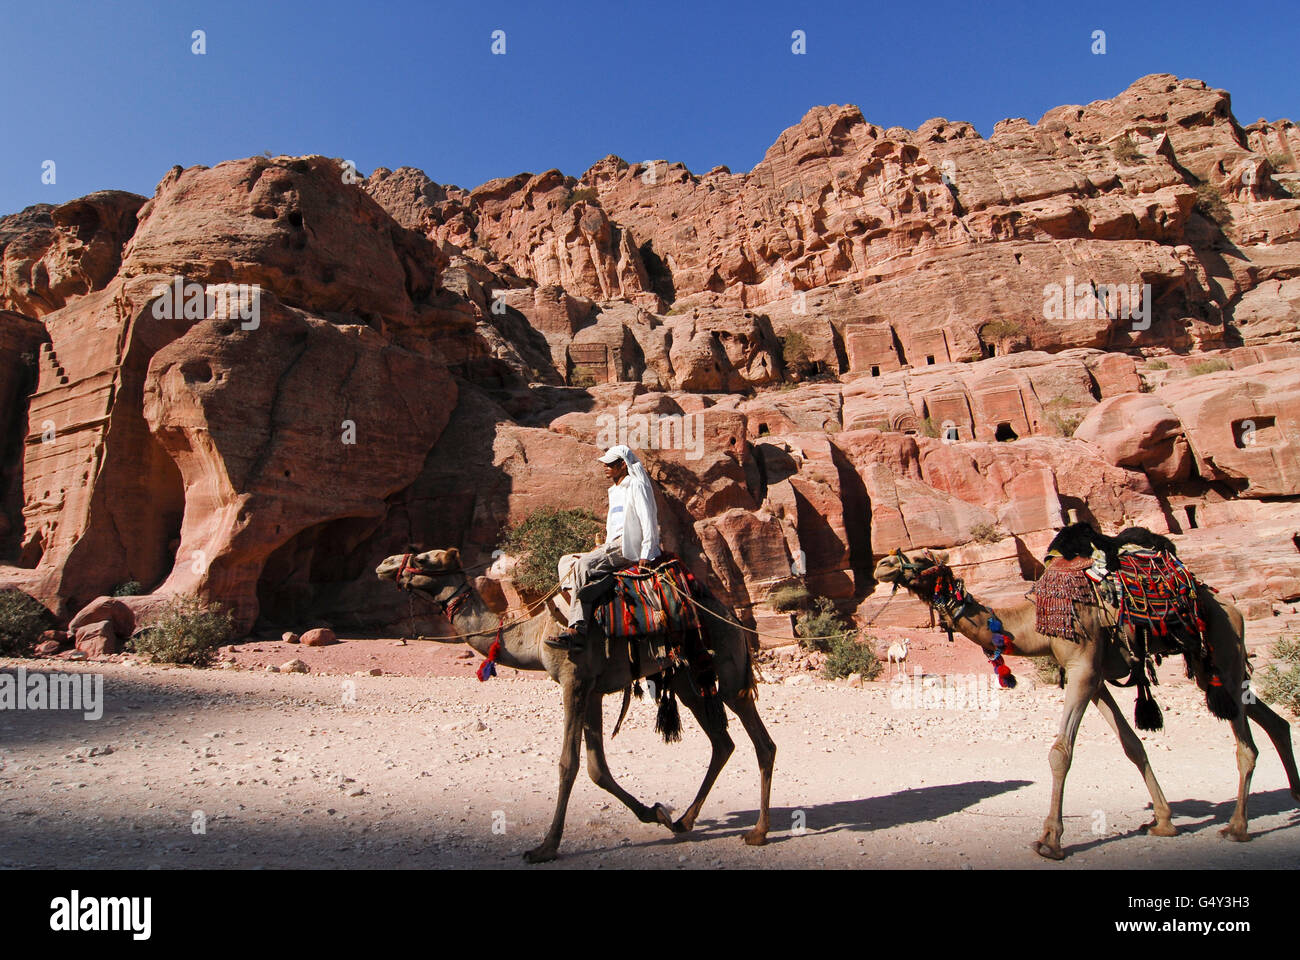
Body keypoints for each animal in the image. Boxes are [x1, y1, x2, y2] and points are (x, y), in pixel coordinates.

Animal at [873, 522, 1300, 858]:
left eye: (923, 558)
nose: (882, 565)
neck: (1033, 619)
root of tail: (1232, 607)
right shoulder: (1093, 679)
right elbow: (1132, 746)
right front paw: (1163, 821)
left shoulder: (1082, 667)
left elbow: (1060, 752)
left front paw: (1050, 840)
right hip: (1206, 667)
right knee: (1274, 721)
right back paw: (1294, 798)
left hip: (1224, 651)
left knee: (1246, 744)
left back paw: (1238, 827)